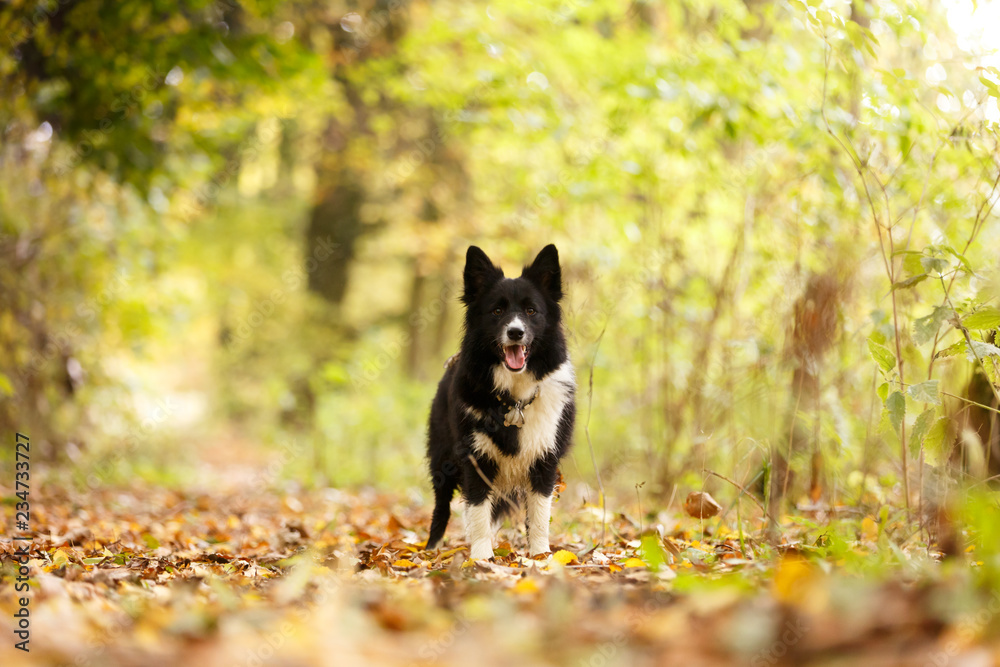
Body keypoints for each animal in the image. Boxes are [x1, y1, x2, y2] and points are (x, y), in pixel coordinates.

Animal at [424, 244, 580, 560]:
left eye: (531, 310)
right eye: (497, 311)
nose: (516, 332)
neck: (514, 399)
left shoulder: (545, 459)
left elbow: (539, 515)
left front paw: (541, 556)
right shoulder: (475, 458)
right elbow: (477, 510)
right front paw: (482, 558)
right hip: (442, 460)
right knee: (442, 508)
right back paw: (432, 549)